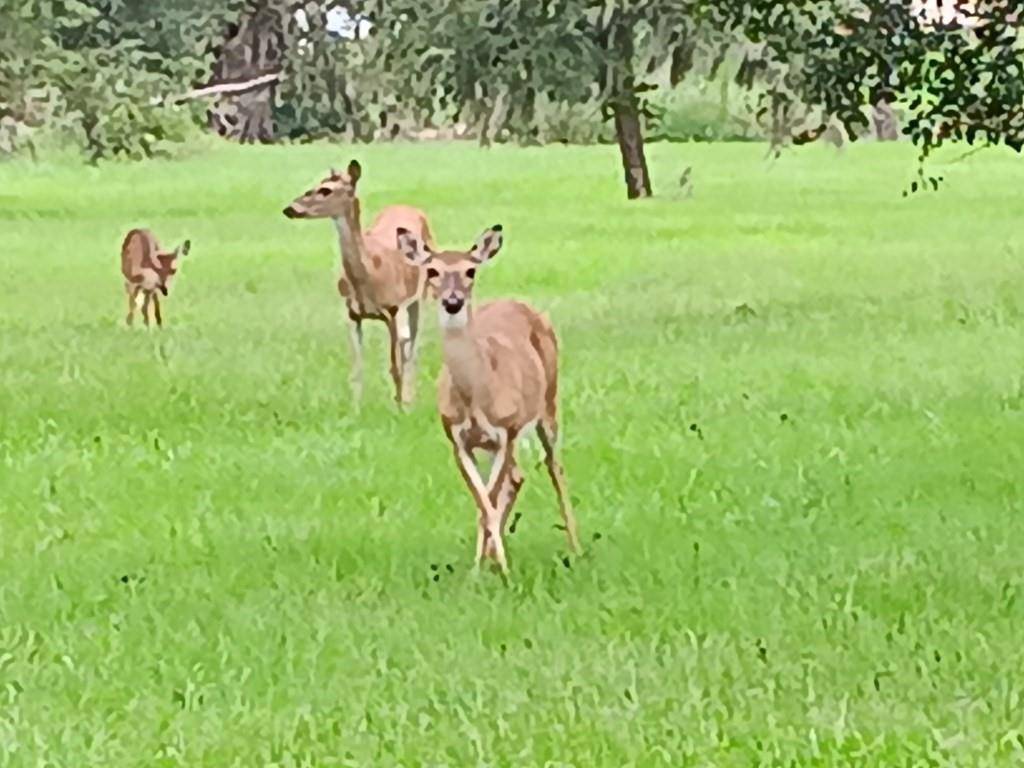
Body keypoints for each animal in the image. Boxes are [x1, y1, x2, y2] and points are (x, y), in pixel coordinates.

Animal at [282, 157, 434, 409]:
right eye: (317, 184)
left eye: (326, 190)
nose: (290, 209)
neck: (369, 275)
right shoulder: (351, 313)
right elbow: (356, 368)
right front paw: (356, 408)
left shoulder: (394, 309)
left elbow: (394, 366)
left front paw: (399, 408)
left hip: (419, 297)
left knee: (412, 348)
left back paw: (409, 400)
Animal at [395, 221, 581, 573]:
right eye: (432, 271)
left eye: (470, 270)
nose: (453, 301)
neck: (476, 396)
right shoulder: (458, 439)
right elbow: (483, 501)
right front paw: (481, 568)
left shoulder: (507, 431)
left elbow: (490, 499)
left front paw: (502, 569)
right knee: (517, 477)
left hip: (548, 404)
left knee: (555, 467)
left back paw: (575, 548)